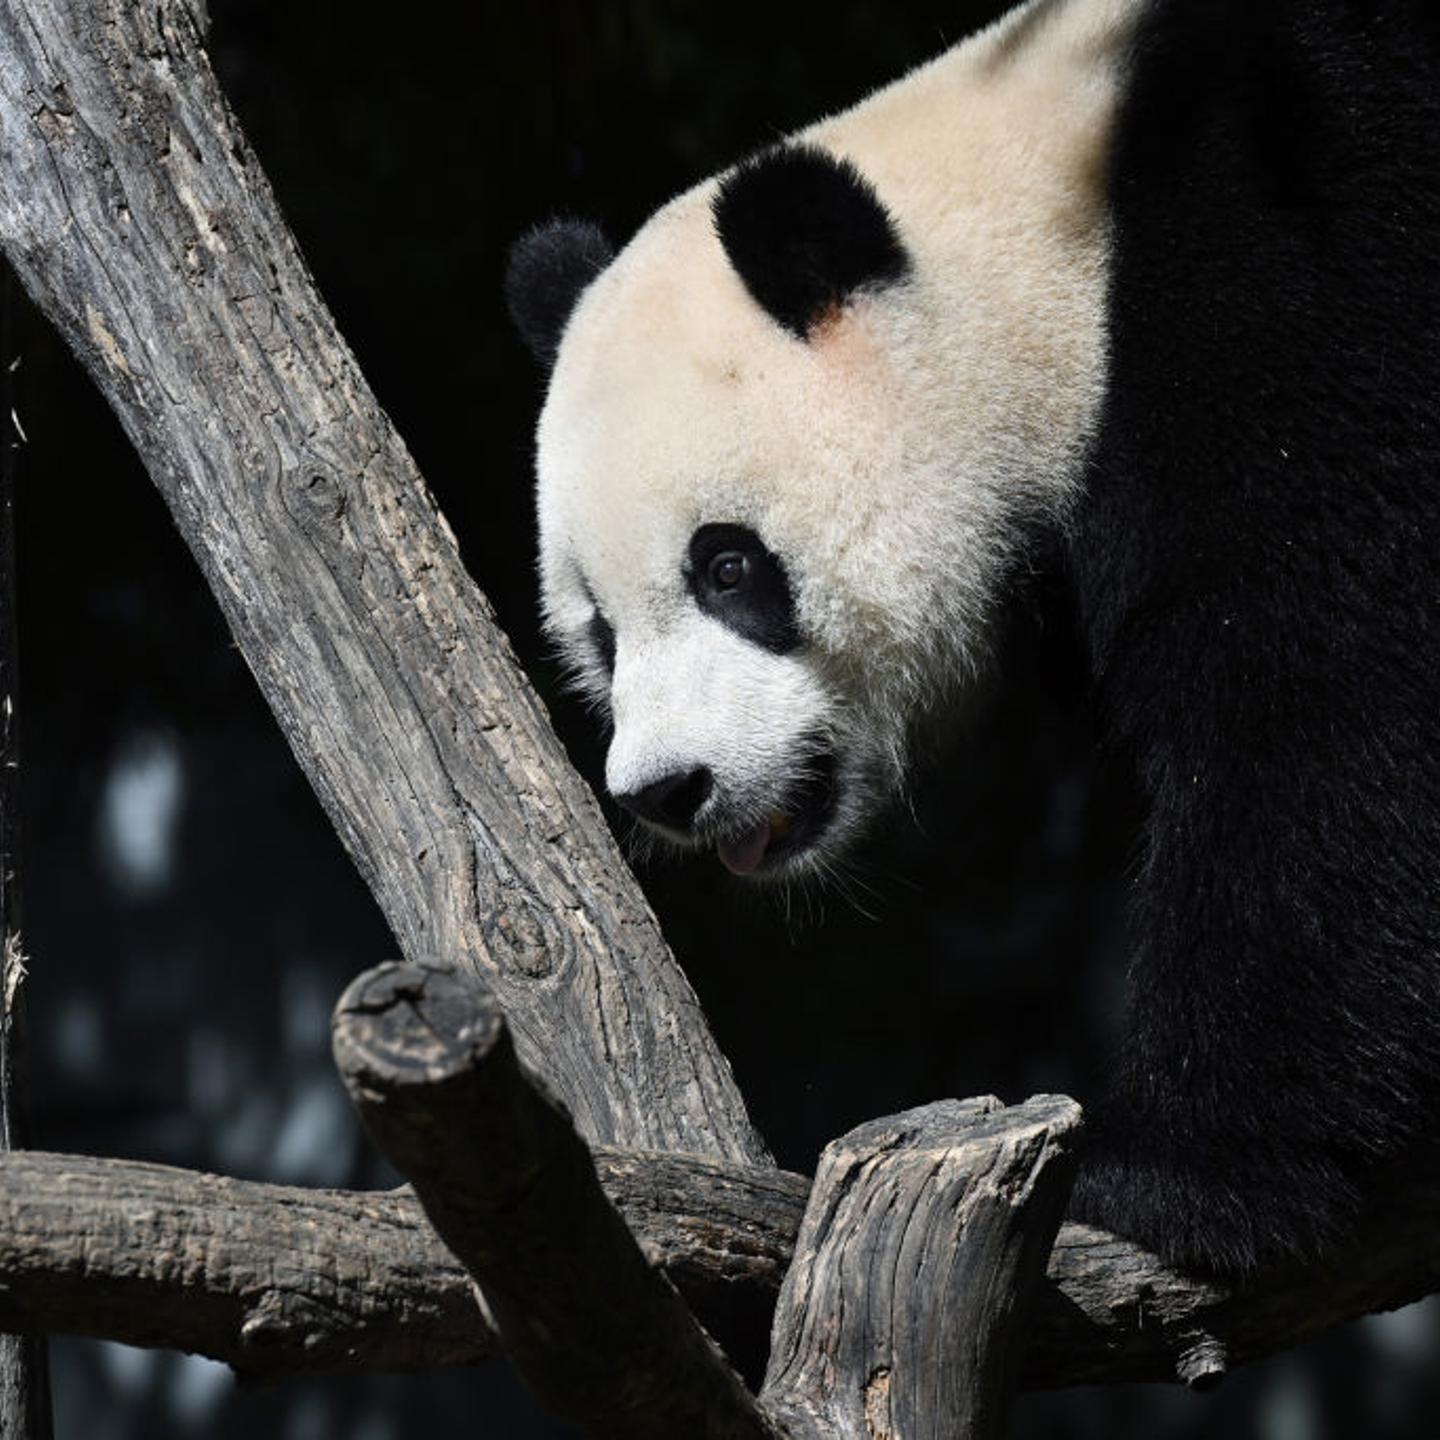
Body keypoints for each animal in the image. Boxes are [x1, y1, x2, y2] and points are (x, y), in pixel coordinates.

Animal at [506, 0, 1440, 1274]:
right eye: (599, 633)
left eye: (727, 566)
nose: (671, 789)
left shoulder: (1295, 247)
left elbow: (1318, 678)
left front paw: (1182, 1174)